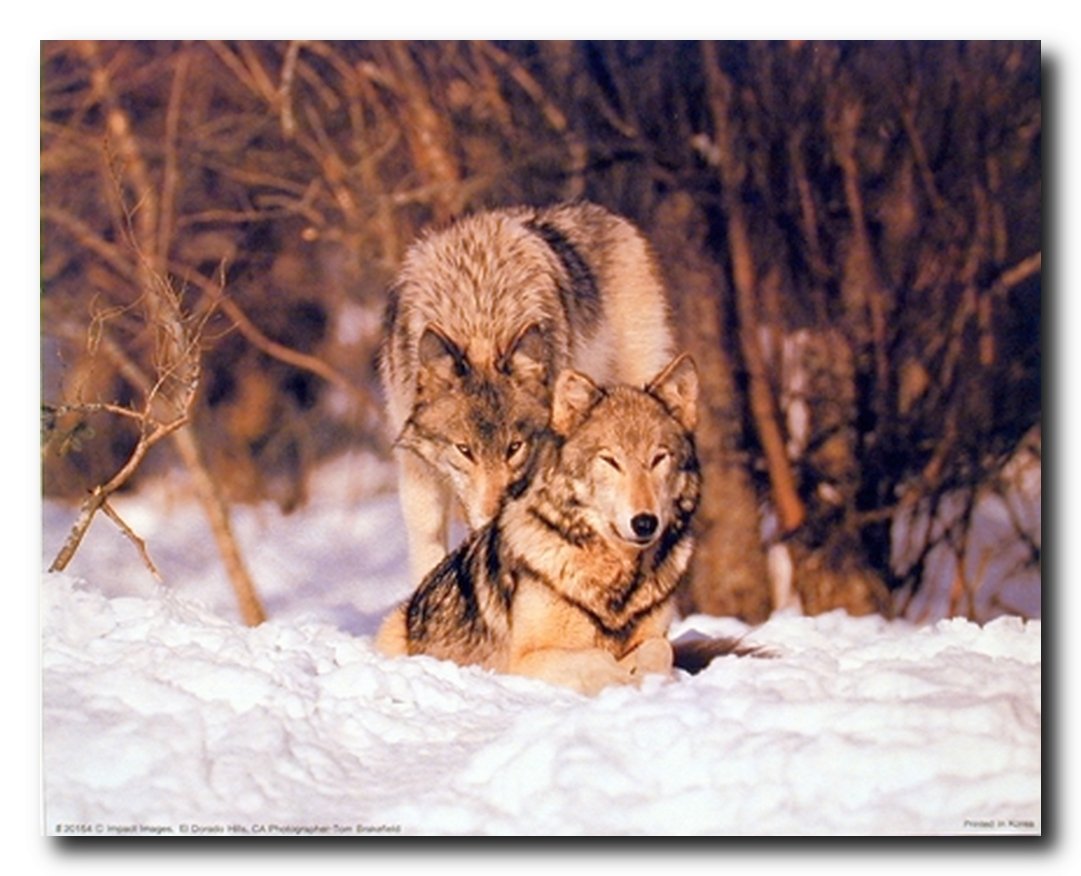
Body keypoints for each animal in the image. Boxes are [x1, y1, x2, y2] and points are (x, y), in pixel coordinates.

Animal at [376, 355, 743, 696]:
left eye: (658, 458)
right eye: (610, 460)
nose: (644, 523)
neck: (616, 585)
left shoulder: (654, 638)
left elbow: (660, 649)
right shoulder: (522, 661)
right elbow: (598, 658)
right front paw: (624, 679)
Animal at [379, 202, 675, 584]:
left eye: (514, 448)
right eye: (464, 450)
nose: (490, 520)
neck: (479, 317)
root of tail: (605, 214)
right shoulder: (418, 475)